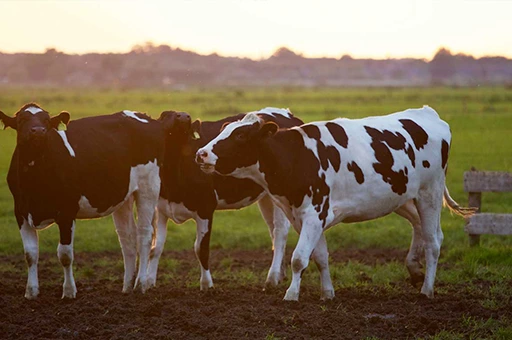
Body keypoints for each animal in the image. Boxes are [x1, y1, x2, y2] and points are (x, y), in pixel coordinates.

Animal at [0, 102, 164, 298]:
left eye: (46, 120)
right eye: (22, 120)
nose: (38, 131)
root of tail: (143, 116)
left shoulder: (66, 212)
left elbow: (64, 254)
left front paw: (69, 291)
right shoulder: (21, 212)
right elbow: (30, 254)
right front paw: (31, 292)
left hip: (148, 188)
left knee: (144, 234)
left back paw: (140, 284)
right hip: (124, 197)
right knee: (127, 238)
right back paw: (126, 287)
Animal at [146, 107, 302, 290]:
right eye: (165, 115)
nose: (184, 116)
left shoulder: (205, 208)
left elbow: (201, 248)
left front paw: (206, 285)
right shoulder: (161, 209)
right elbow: (156, 247)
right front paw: (148, 282)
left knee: (279, 232)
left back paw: (272, 277)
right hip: (267, 197)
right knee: (273, 231)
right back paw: (280, 274)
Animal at [196, 105, 476, 300]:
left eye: (241, 136)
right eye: (223, 130)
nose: (201, 153)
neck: (297, 156)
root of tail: (428, 113)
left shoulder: (314, 213)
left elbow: (299, 258)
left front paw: (291, 294)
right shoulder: (305, 216)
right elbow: (319, 256)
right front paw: (327, 293)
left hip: (430, 193)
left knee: (433, 241)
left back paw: (427, 289)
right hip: (403, 197)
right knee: (419, 226)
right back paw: (414, 269)